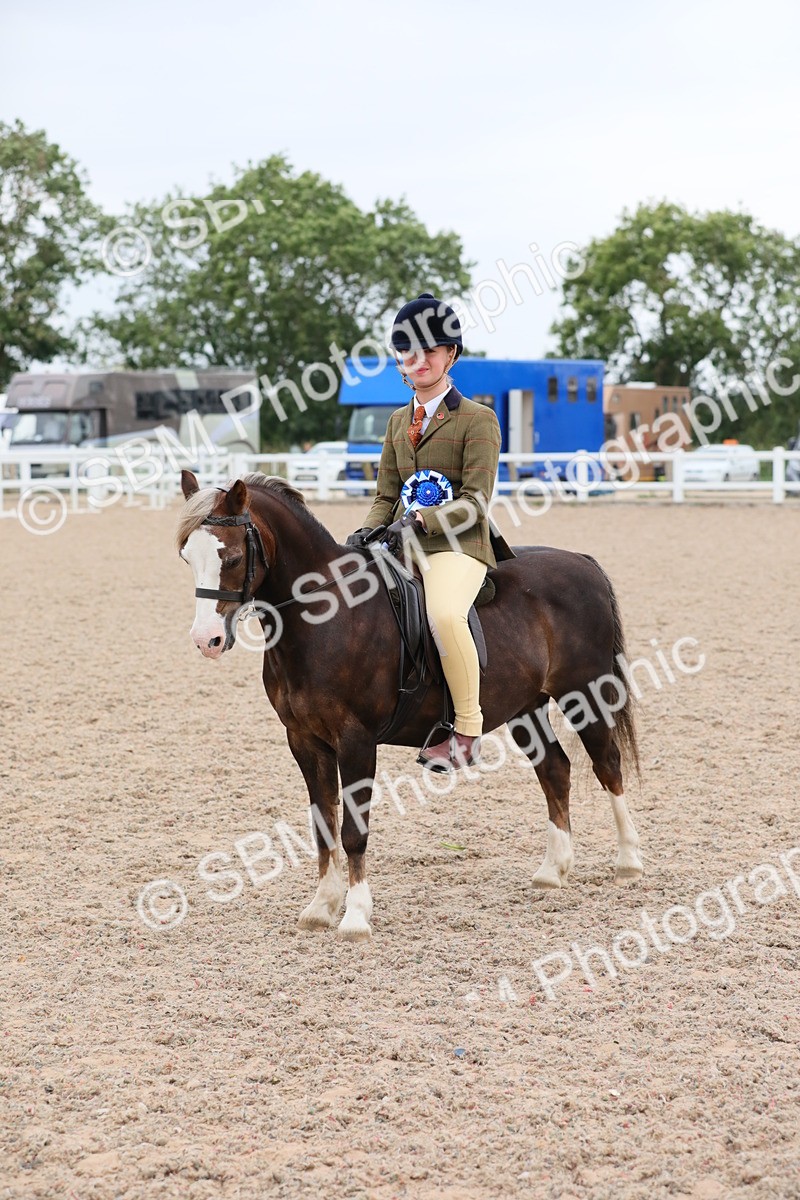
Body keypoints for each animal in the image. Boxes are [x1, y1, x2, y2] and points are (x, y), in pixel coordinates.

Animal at [177, 470, 643, 941]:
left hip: (584, 692)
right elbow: (323, 825)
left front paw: (355, 916)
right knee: (555, 770)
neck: (329, 615)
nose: (205, 640)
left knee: (607, 765)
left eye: (234, 557)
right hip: (527, 708)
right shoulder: (305, 741)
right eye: (186, 557)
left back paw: (628, 862)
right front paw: (321, 907)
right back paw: (553, 870)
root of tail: (580, 561)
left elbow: (353, 830)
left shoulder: (356, 741)